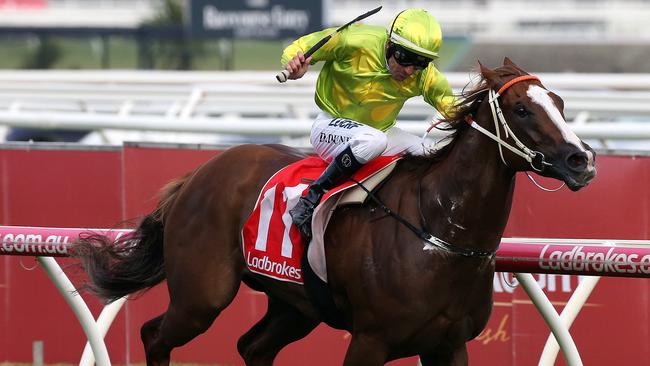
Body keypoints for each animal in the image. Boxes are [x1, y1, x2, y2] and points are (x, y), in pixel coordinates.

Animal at [74, 58, 592, 364]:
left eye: (561, 102)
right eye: (522, 109)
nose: (581, 159)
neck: (436, 232)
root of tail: (200, 173)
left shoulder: (449, 345)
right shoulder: (369, 342)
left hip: (295, 303)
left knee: (252, 347)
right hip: (202, 295)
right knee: (155, 335)